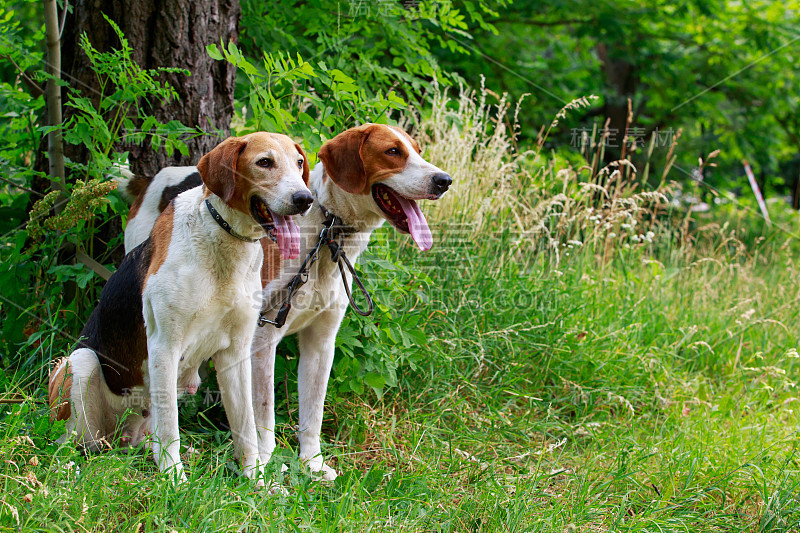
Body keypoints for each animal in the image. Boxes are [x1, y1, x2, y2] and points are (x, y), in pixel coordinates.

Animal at [47, 133, 312, 482]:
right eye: (264, 162)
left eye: (299, 163)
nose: (304, 198)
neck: (224, 240)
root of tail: (118, 438)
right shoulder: (165, 347)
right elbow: (171, 426)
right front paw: (174, 480)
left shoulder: (236, 352)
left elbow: (245, 427)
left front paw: (255, 480)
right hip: (80, 364)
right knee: (70, 444)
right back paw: (71, 466)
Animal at [115, 123, 450, 478]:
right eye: (392, 151)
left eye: (418, 150)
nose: (444, 180)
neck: (324, 232)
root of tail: (149, 179)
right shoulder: (261, 338)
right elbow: (262, 417)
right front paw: (265, 465)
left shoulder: (321, 341)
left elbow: (313, 414)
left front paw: (312, 463)